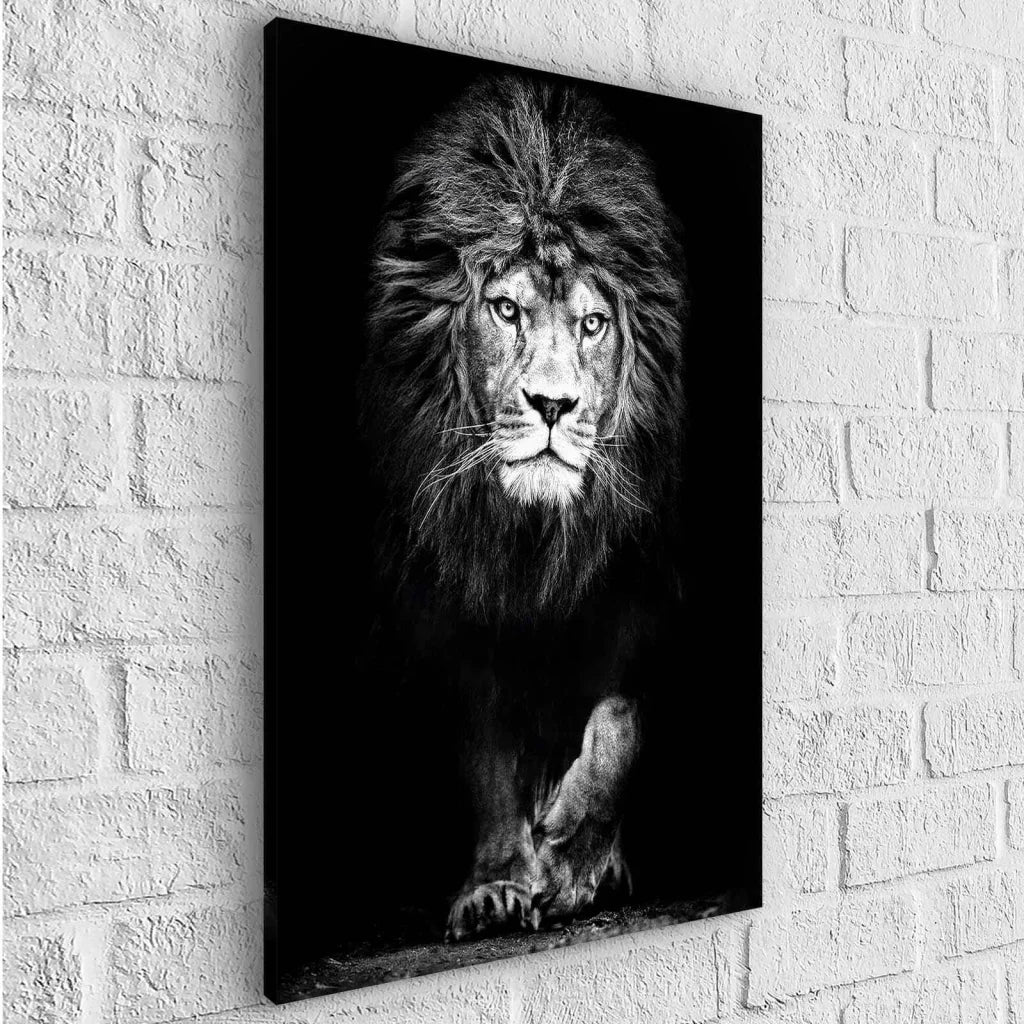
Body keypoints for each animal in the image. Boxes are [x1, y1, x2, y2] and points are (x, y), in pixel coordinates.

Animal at [358, 75, 686, 942]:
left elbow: (621, 718)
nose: (551, 404)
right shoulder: (452, 607)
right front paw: (502, 881)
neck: (533, 539)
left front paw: (573, 855)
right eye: (506, 311)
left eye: (593, 324)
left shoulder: (644, 588)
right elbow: (487, 757)